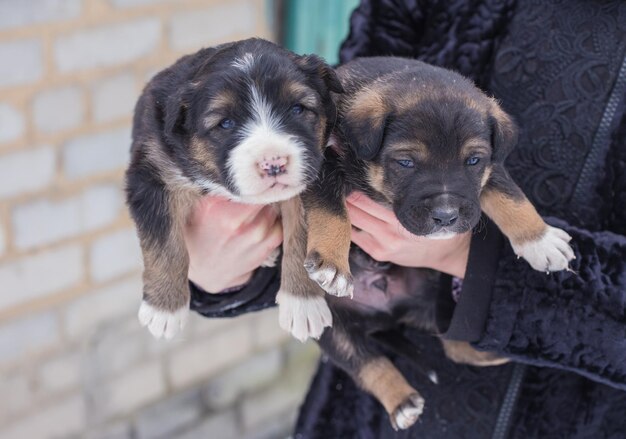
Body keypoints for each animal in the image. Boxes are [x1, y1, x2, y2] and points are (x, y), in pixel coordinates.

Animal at [124, 38, 344, 340]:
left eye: (298, 109)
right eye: (226, 123)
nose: (273, 163)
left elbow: (301, 237)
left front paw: (303, 305)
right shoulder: (151, 175)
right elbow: (165, 243)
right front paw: (164, 309)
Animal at [304, 57, 576, 430]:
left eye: (473, 160)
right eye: (405, 162)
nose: (446, 216)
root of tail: (388, 315)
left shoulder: (492, 167)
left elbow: (509, 194)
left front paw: (541, 240)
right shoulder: (320, 160)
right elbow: (329, 205)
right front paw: (332, 261)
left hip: (436, 298)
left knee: (451, 341)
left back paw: (488, 352)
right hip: (333, 327)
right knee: (364, 361)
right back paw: (401, 401)